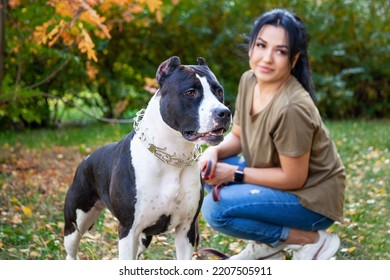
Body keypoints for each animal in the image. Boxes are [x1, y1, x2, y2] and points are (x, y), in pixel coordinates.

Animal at [62, 57, 230, 260]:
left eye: (219, 91)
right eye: (190, 92)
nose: (224, 112)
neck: (173, 157)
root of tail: (87, 159)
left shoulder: (187, 228)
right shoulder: (128, 230)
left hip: (143, 238)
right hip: (75, 224)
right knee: (71, 251)